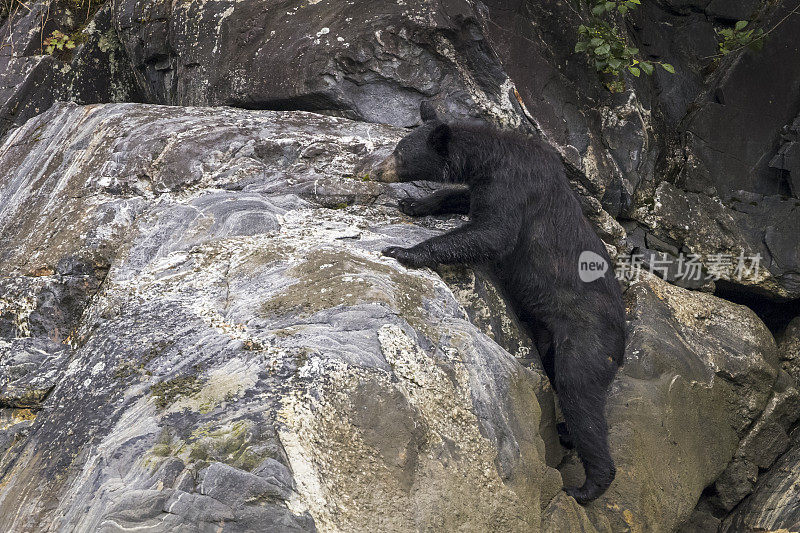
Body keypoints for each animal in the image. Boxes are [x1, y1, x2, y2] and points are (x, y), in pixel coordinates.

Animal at [376, 102, 624, 504]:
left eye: (400, 152)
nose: (378, 170)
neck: (489, 159)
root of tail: (624, 343)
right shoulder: (485, 185)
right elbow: (463, 198)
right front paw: (413, 202)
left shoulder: (513, 185)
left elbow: (493, 233)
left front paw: (404, 250)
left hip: (588, 338)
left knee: (579, 392)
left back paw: (588, 485)